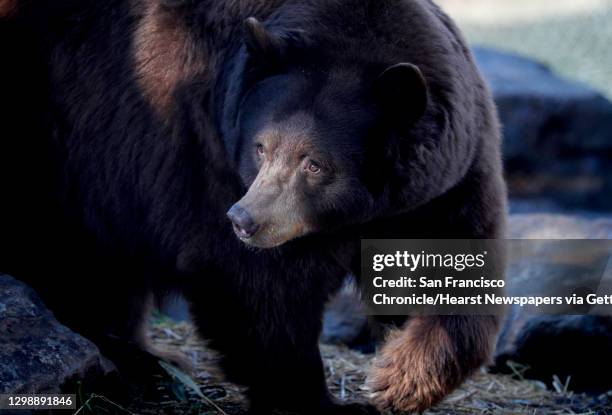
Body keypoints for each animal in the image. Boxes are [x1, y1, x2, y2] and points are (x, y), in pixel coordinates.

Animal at [0, 0, 506, 412]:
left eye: (315, 163)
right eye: (261, 147)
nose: (244, 220)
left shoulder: (445, 181)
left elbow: (458, 264)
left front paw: (398, 378)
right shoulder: (201, 148)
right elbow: (254, 288)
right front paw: (318, 400)